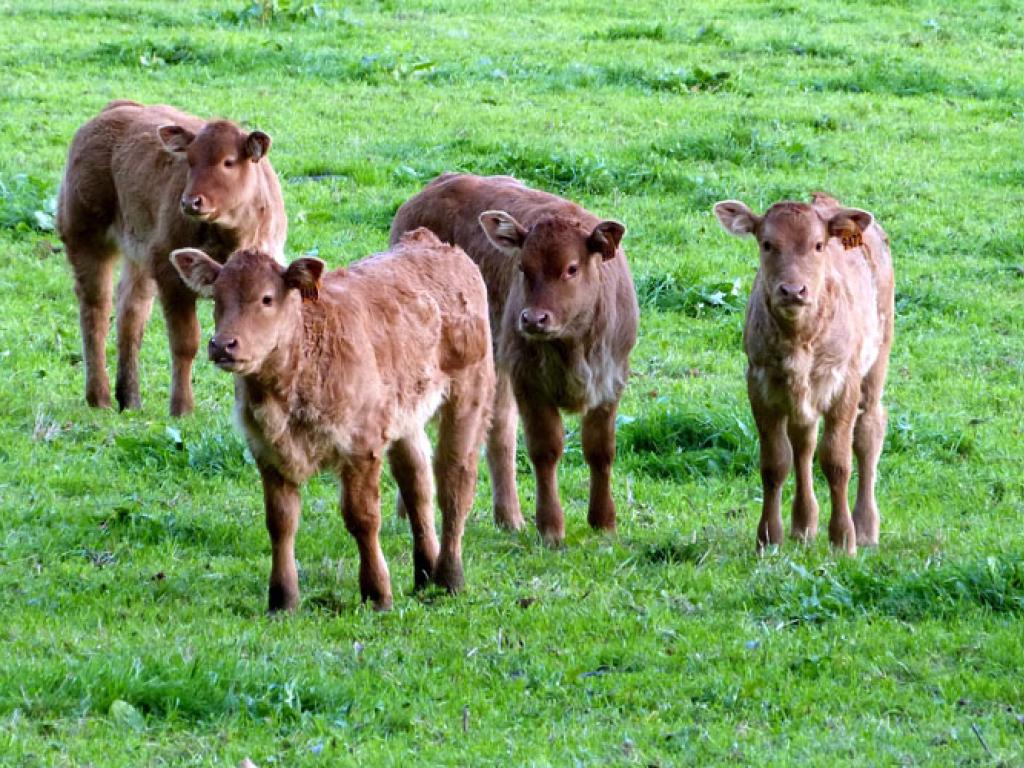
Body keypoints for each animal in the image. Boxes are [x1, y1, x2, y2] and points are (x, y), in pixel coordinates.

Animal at [58, 102, 286, 417]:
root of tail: (116, 108)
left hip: (140, 255)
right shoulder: (172, 276)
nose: (191, 202)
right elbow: (185, 343)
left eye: (228, 162)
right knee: (96, 312)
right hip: (87, 238)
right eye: (189, 161)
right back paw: (99, 397)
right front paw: (182, 408)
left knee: (130, 312)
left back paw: (129, 398)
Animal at [169, 228, 493, 614]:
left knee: (455, 482)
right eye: (217, 298)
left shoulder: (361, 446)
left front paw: (377, 592)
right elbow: (280, 522)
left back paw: (449, 578)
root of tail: (432, 243)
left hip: (469, 393)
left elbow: (362, 518)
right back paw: (425, 573)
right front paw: (282, 599)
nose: (222, 344)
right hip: (406, 417)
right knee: (417, 483)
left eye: (267, 298)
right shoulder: (266, 451)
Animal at [389, 174, 634, 548]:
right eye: (522, 266)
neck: (575, 345)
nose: (533, 319)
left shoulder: (611, 382)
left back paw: (509, 518)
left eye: (572, 268)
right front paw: (551, 527)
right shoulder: (528, 380)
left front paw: (603, 521)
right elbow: (545, 449)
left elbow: (600, 450)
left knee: (500, 430)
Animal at [712, 192, 897, 552]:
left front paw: (843, 539)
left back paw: (866, 526)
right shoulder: (760, 384)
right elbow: (775, 462)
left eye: (818, 245)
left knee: (869, 431)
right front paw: (768, 537)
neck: (798, 340)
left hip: (877, 359)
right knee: (804, 442)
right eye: (767, 243)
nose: (793, 291)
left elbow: (837, 461)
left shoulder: (844, 383)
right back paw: (803, 525)